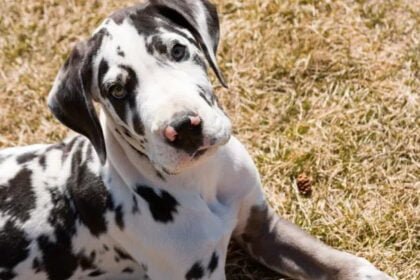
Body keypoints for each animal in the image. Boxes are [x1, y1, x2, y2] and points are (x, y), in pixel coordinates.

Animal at [0, 1, 394, 280]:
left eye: (177, 50)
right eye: (116, 90)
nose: (183, 127)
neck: (202, 179)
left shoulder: (263, 228)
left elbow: (339, 261)